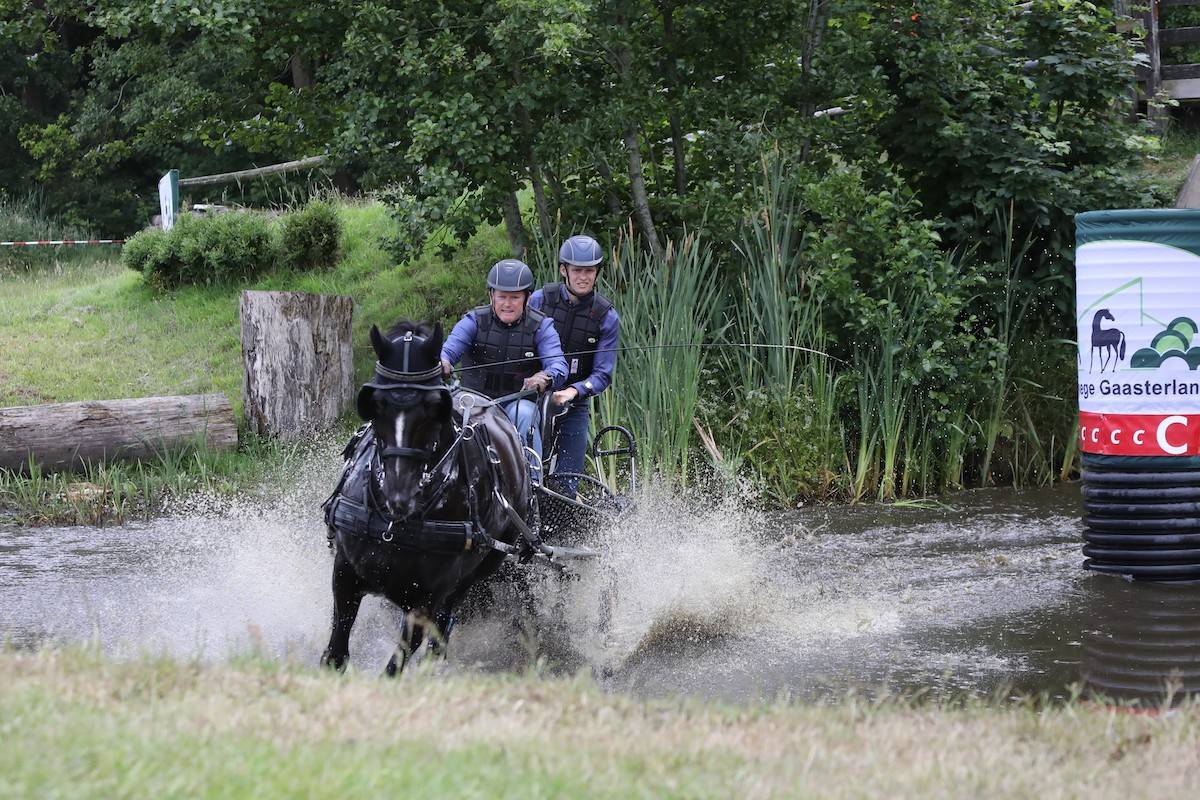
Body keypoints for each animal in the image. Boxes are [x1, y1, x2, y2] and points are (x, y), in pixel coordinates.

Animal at [320, 319, 541, 675]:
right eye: (375, 404)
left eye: (433, 408)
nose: (399, 493)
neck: (395, 524)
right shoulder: (345, 576)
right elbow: (336, 654)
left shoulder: (425, 600)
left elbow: (395, 666)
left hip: (480, 568)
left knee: (446, 621)